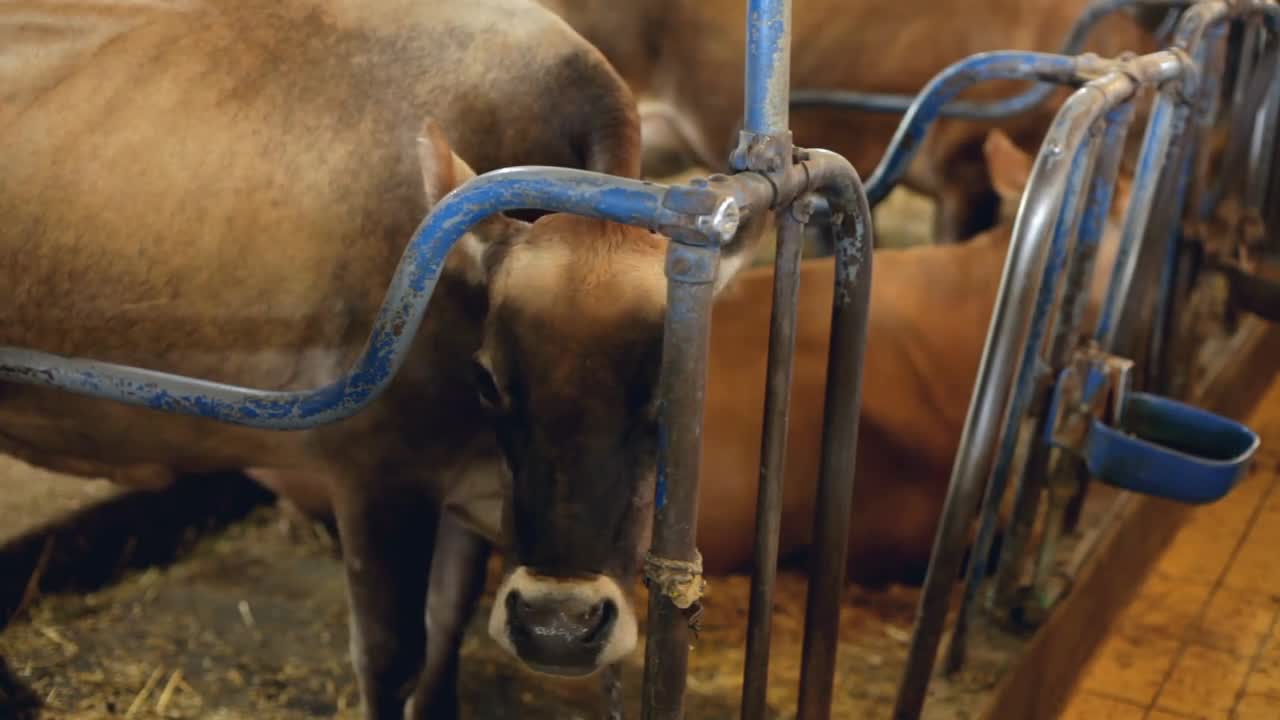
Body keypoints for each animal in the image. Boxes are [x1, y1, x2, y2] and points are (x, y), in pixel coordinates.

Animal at [0, 2, 757, 712]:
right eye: (487, 379)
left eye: (671, 392)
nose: (558, 628)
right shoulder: (375, 472)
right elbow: (392, 656)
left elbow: (447, 624)